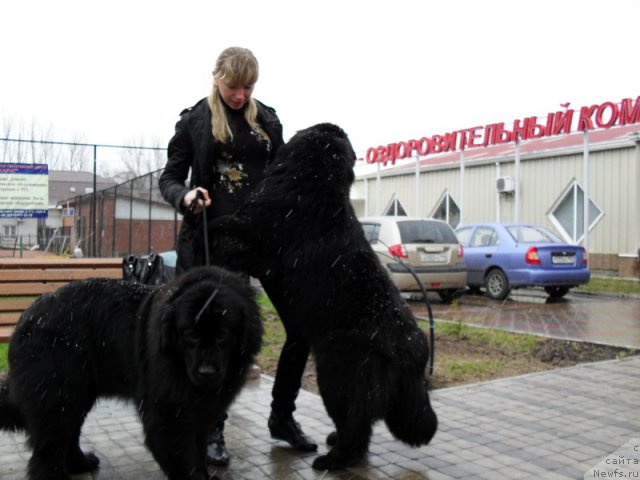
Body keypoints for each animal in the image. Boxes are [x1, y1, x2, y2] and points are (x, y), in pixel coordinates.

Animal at [0, 266, 262, 480]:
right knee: (48, 449)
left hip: (77, 394)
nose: (206, 372)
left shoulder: (202, 410)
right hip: (58, 395)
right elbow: (183, 456)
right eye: (191, 336)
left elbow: (198, 449)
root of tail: (25, 319)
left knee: (70, 433)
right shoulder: (168, 412)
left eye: (223, 336)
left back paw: (80, 463)